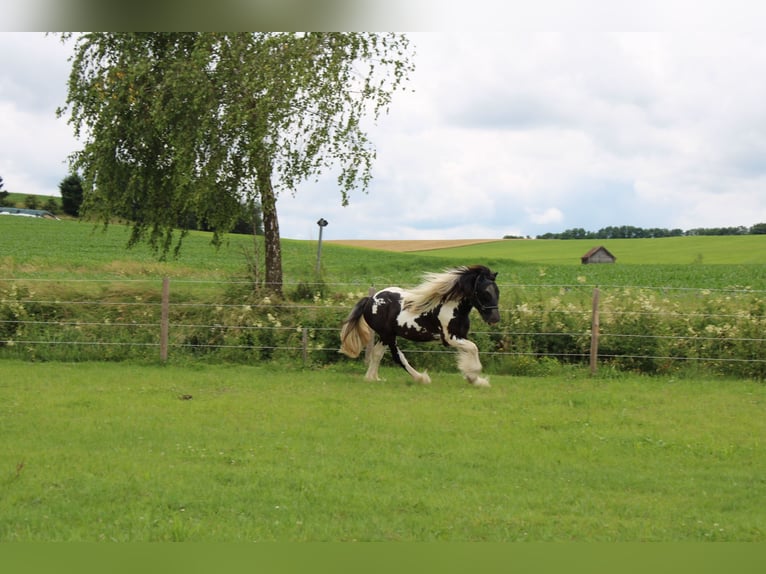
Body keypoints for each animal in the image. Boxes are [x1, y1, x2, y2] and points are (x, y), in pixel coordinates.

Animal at [340, 266, 500, 388]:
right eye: (485, 292)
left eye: (497, 291)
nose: (495, 319)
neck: (451, 307)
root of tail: (370, 300)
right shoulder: (449, 338)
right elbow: (474, 348)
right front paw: (474, 378)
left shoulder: (460, 336)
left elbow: (468, 353)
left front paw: (476, 380)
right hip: (388, 335)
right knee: (398, 357)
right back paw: (421, 378)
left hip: (385, 336)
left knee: (377, 353)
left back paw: (373, 379)